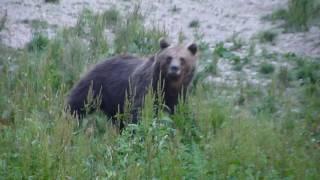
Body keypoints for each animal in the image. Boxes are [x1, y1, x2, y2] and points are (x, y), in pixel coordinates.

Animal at [67, 39, 198, 129]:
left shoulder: (180, 94)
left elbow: (179, 111)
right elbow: (140, 111)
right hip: (96, 86)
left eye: (182, 59)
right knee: (78, 103)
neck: (169, 85)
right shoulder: (147, 87)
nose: (174, 68)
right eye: (169, 57)